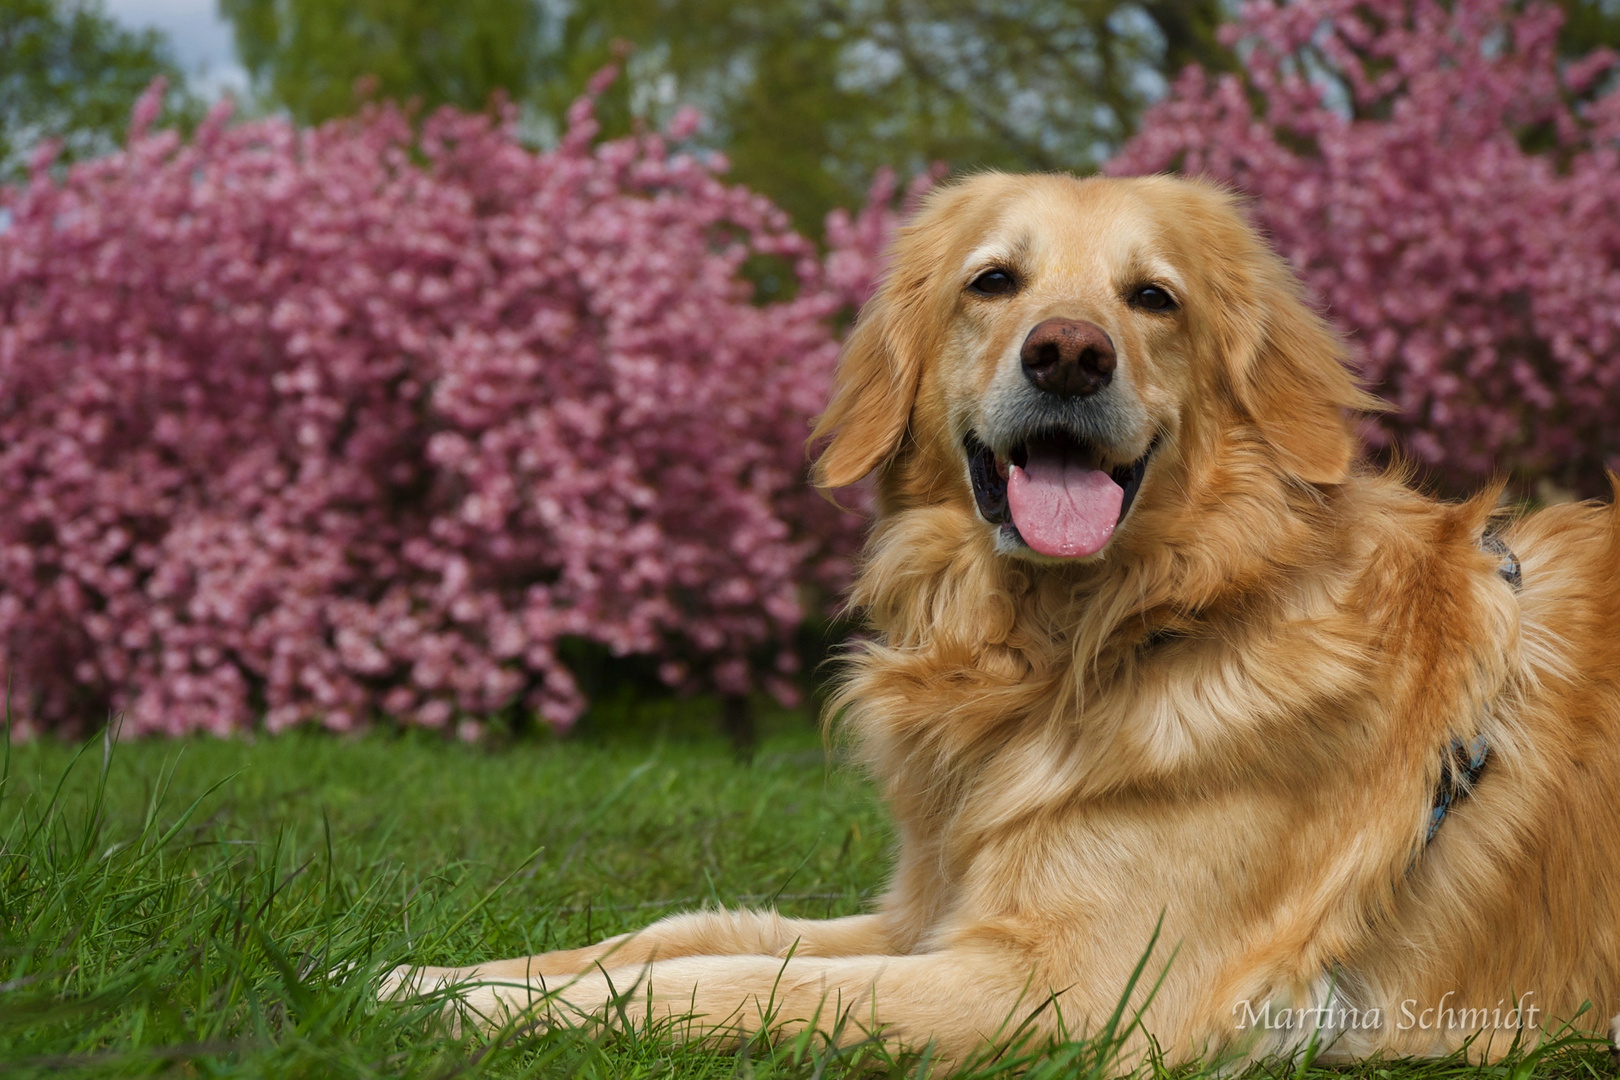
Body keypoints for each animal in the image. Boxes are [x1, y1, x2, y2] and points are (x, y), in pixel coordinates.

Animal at [392, 173, 1620, 1068]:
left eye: (1154, 297)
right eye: (992, 281)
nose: (1068, 353)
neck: (1082, 642)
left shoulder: (1077, 987)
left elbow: (728, 983)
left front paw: (481, 1010)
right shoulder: (928, 917)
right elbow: (689, 931)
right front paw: (426, 975)